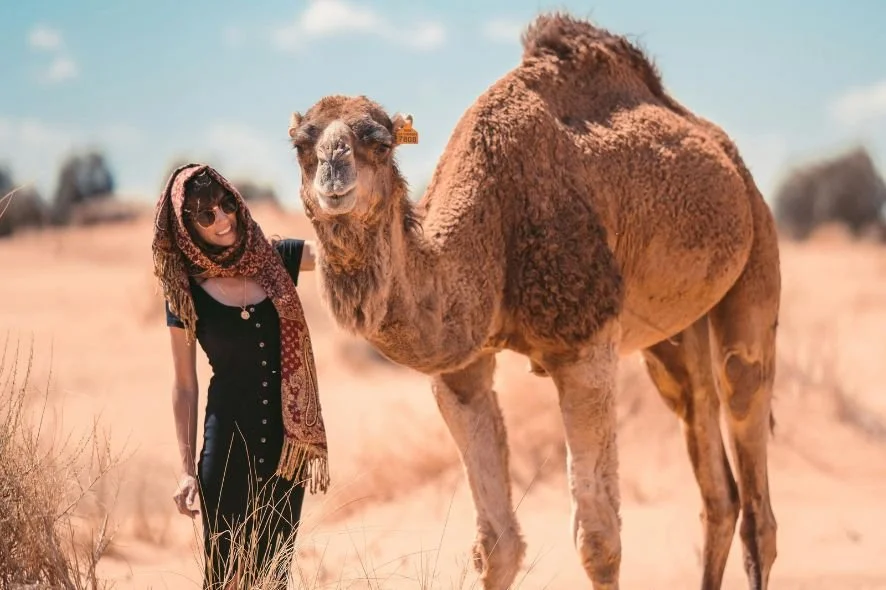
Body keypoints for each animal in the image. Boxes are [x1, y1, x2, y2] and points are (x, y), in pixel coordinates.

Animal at [286, 12, 780, 590]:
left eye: (380, 142)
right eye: (301, 144)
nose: (333, 174)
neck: (491, 223)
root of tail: (728, 156)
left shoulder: (585, 346)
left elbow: (599, 542)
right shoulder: (461, 370)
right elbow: (497, 546)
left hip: (757, 256)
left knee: (749, 445)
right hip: (674, 338)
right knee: (714, 478)